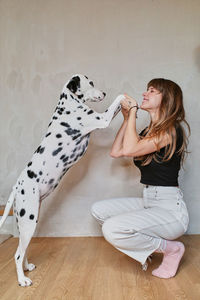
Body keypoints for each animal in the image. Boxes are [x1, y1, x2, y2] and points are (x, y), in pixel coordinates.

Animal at [0, 74, 125, 286]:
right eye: (90, 83)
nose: (104, 93)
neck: (67, 103)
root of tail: (17, 186)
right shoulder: (102, 119)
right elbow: (118, 100)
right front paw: (126, 96)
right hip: (28, 221)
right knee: (17, 254)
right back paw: (22, 280)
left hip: (25, 222)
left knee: (22, 250)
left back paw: (27, 268)